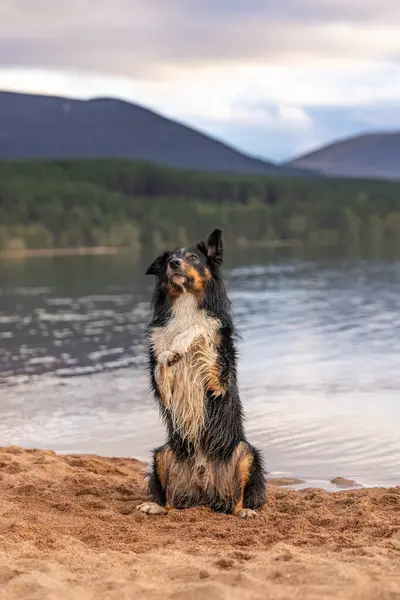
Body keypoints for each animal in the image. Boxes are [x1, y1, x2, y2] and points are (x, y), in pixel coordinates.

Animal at [137, 227, 266, 516]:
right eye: (169, 259)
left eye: (193, 257)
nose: (174, 263)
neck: (185, 304)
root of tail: (205, 489)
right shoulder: (164, 391)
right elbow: (161, 360)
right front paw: (171, 352)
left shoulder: (219, 379)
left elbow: (200, 327)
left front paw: (182, 341)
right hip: (164, 453)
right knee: (170, 503)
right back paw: (155, 507)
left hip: (244, 452)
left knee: (236, 502)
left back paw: (244, 511)